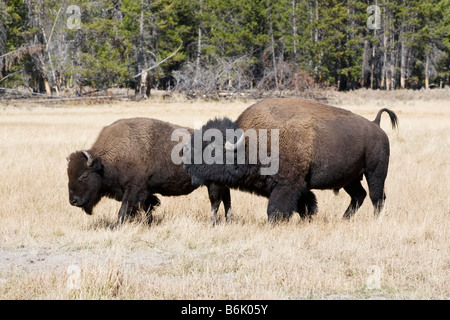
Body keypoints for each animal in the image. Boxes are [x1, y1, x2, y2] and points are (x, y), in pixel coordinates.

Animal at [68, 117, 234, 225]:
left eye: (84, 175)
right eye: (69, 174)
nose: (73, 201)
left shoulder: (133, 189)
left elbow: (125, 208)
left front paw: (117, 226)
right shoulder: (145, 191)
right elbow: (147, 207)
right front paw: (149, 223)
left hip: (213, 183)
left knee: (216, 201)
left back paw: (211, 222)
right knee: (226, 198)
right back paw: (229, 219)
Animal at [183, 98, 398, 222]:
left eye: (211, 150)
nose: (187, 162)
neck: (250, 144)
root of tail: (375, 125)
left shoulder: (288, 185)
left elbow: (277, 208)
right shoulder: (298, 186)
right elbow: (306, 204)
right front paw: (307, 218)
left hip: (375, 173)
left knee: (377, 197)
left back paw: (374, 220)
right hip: (350, 179)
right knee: (359, 195)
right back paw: (344, 219)